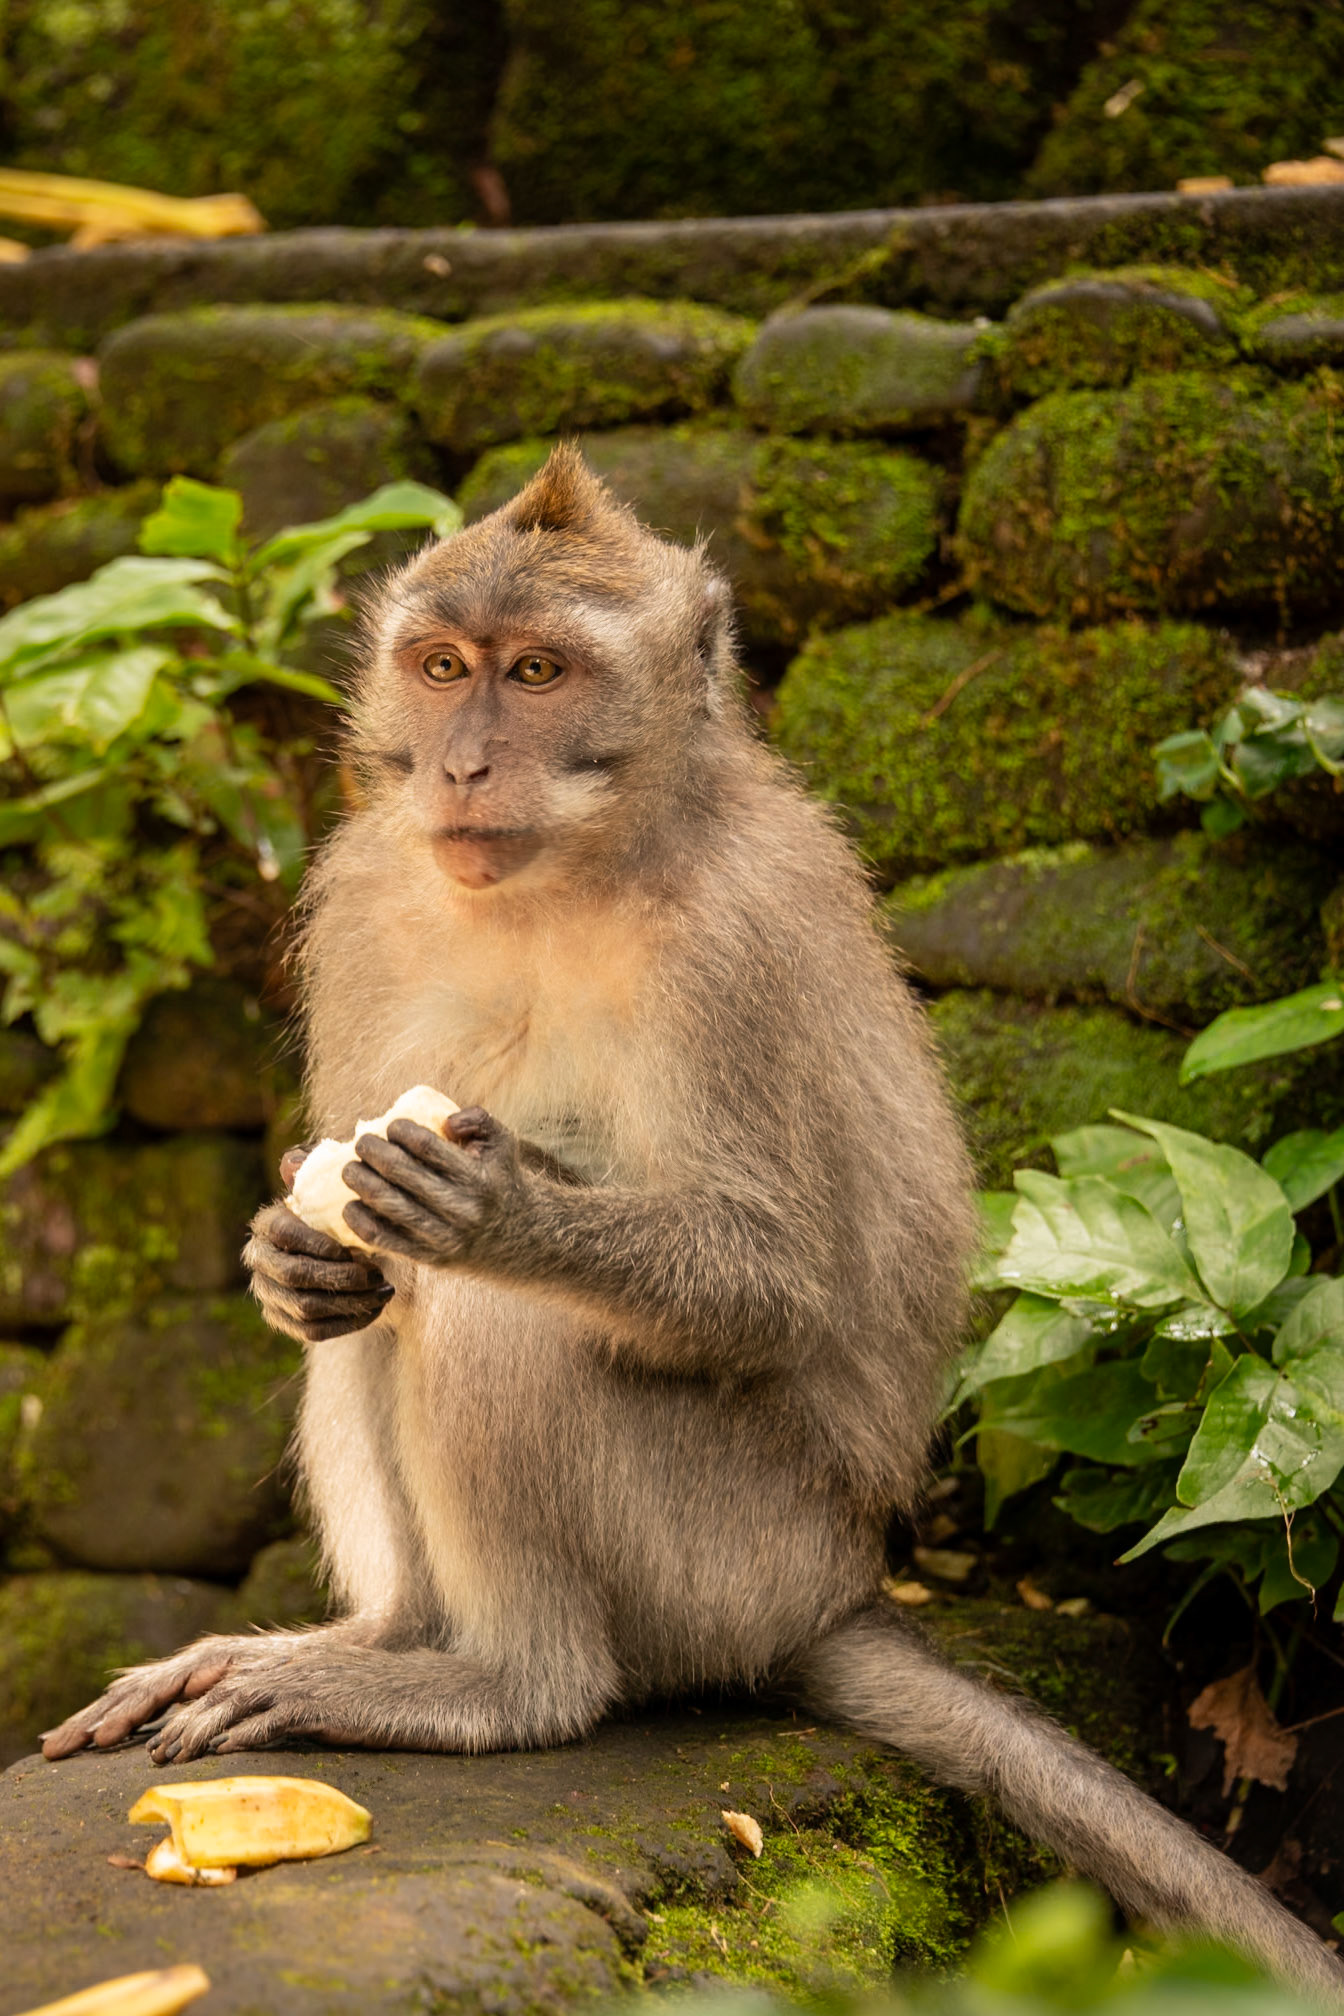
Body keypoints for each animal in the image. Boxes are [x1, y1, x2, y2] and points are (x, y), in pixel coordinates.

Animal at [43, 444, 1343, 2000]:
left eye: (540, 671)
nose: (464, 763)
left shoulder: (731, 946)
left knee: (489, 1322)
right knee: (389, 1307)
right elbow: (347, 1234)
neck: (566, 872)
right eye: (443, 667)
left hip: (723, 1561)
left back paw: (504, 1684)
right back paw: (392, 1631)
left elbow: (766, 1280)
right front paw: (287, 1258)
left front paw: (504, 1211)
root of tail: (835, 1592)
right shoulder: (367, 895)